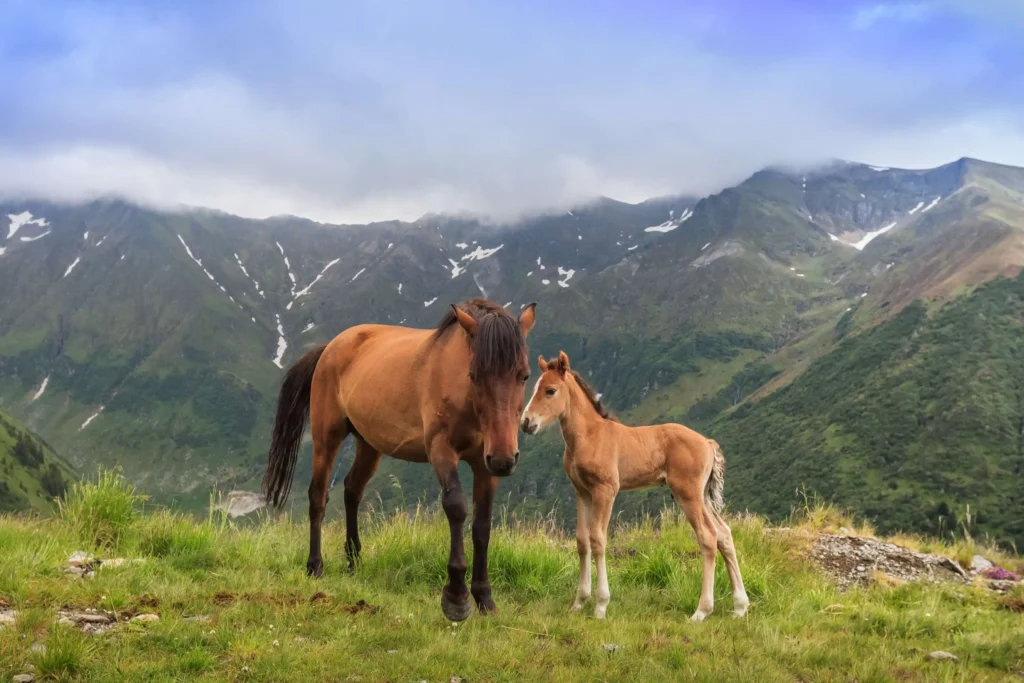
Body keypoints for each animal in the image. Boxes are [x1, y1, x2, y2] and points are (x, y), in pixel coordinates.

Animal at [262, 298, 537, 621]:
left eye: (524, 375)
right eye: (474, 375)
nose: (505, 460)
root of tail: (330, 346)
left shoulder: (485, 465)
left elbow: (482, 526)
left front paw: (484, 598)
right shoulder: (441, 450)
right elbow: (456, 507)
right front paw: (456, 597)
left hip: (369, 445)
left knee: (352, 490)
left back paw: (354, 560)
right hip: (326, 438)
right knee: (318, 496)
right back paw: (315, 566)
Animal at [520, 351, 749, 621]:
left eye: (550, 390)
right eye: (535, 387)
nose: (526, 423)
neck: (590, 435)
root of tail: (707, 442)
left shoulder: (606, 490)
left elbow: (598, 539)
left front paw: (600, 605)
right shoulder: (582, 492)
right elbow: (582, 541)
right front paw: (578, 602)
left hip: (688, 494)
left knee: (708, 537)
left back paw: (701, 611)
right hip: (702, 496)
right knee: (724, 534)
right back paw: (740, 606)